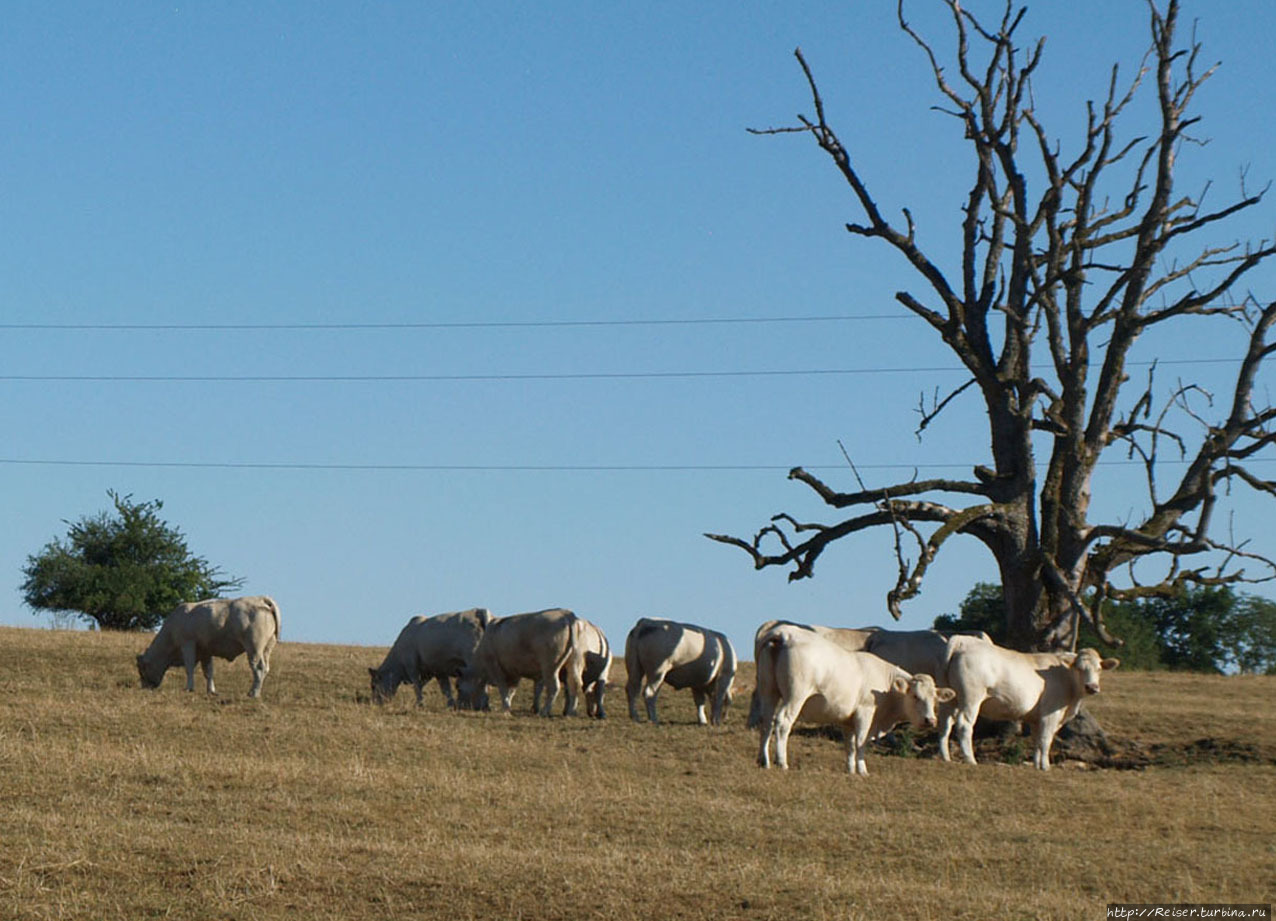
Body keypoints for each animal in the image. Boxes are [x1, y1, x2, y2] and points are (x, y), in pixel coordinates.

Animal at [136, 594, 281, 693]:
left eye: (142, 669)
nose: (145, 687)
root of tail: (261, 599)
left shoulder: (187, 644)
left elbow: (189, 668)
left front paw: (189, 688)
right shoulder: (206, 651)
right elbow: (209, 671)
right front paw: (211, 690)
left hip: (254, 648)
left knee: (258, 668)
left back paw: (253, 693)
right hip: (266, 649)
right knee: (265, 668)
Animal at [934, 632, 1122, 765]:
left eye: (1099, 669)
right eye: (1079, 668)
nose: (1092, 687)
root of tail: (963, 640)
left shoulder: (1036, 718)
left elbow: (1036, 741)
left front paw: (1037, 765)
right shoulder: (1050, 714)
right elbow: (1046, 740)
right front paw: (1045, 767)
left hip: (950, 698)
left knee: (944, 724)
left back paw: (946, 757)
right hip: (971, 697)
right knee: (964, 725)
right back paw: (970, 760)